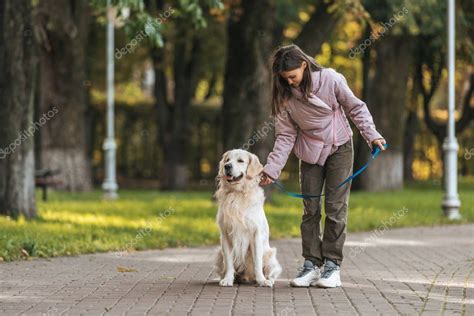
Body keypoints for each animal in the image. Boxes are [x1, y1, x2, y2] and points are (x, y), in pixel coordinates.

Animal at [214, 149, 282, 286]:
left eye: (240, 161)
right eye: (227, 160)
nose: (227, 166)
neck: (237, 193)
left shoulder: (255, 234)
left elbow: (257, 262)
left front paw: (261, 280)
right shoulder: (225, 235)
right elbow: (229, 262)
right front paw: (228, 279)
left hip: (270, 256)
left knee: (272, 272)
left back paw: (267, 279)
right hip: (219, 254)